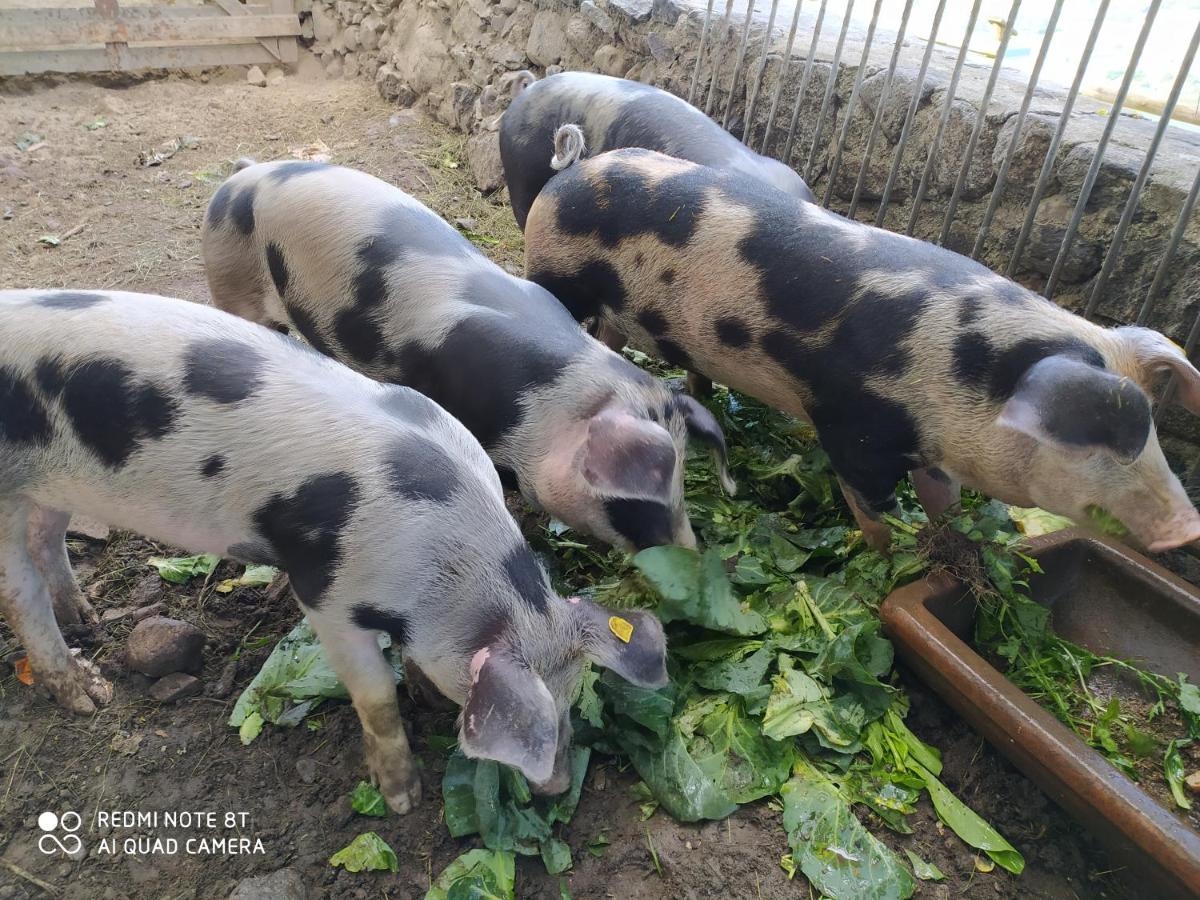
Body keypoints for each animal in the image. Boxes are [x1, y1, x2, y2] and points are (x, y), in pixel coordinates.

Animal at [0, 292, 672, 816]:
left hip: (58, 483)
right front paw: (402, 799)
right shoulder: (327, 592)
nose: (557, 789)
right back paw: (89, 693)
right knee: (18, 588)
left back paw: (85, 618)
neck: (440, 569)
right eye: (542, 710)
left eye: (573, 696)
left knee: (47, 535)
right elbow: (373, 693)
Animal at [201, 164, 734, 556]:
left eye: (684, 481)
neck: (549, 404)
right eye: (633, 502)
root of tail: (239, 178)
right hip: (230, 280)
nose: (689, 552)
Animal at [525, 135, 1200, 556]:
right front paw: (882, 554)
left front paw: (953, 541)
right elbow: (870, 505)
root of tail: (573, 171)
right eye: (1091, 438)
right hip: (555, 273)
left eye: (1152, 431)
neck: (954, 366)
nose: (1187, 529)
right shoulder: (850, 425)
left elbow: (942, 499)